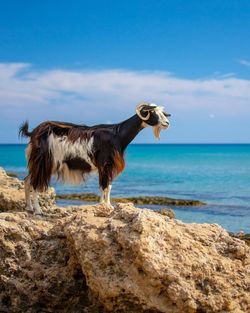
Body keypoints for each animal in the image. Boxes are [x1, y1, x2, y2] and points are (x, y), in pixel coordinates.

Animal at [19, 101, 170, 213]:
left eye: (162, 112)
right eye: (152, 112)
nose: (167, 123)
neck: (117, 135)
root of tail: (34, 132)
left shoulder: (106, 167)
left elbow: (107, 186)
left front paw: (106, 205)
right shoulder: (105, 164)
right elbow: (105, 186)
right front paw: (106, 206)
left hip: (36, 163)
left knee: (27, 180)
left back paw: (29, 208)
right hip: (43, 161)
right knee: (35, 184)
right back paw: (38, 211)